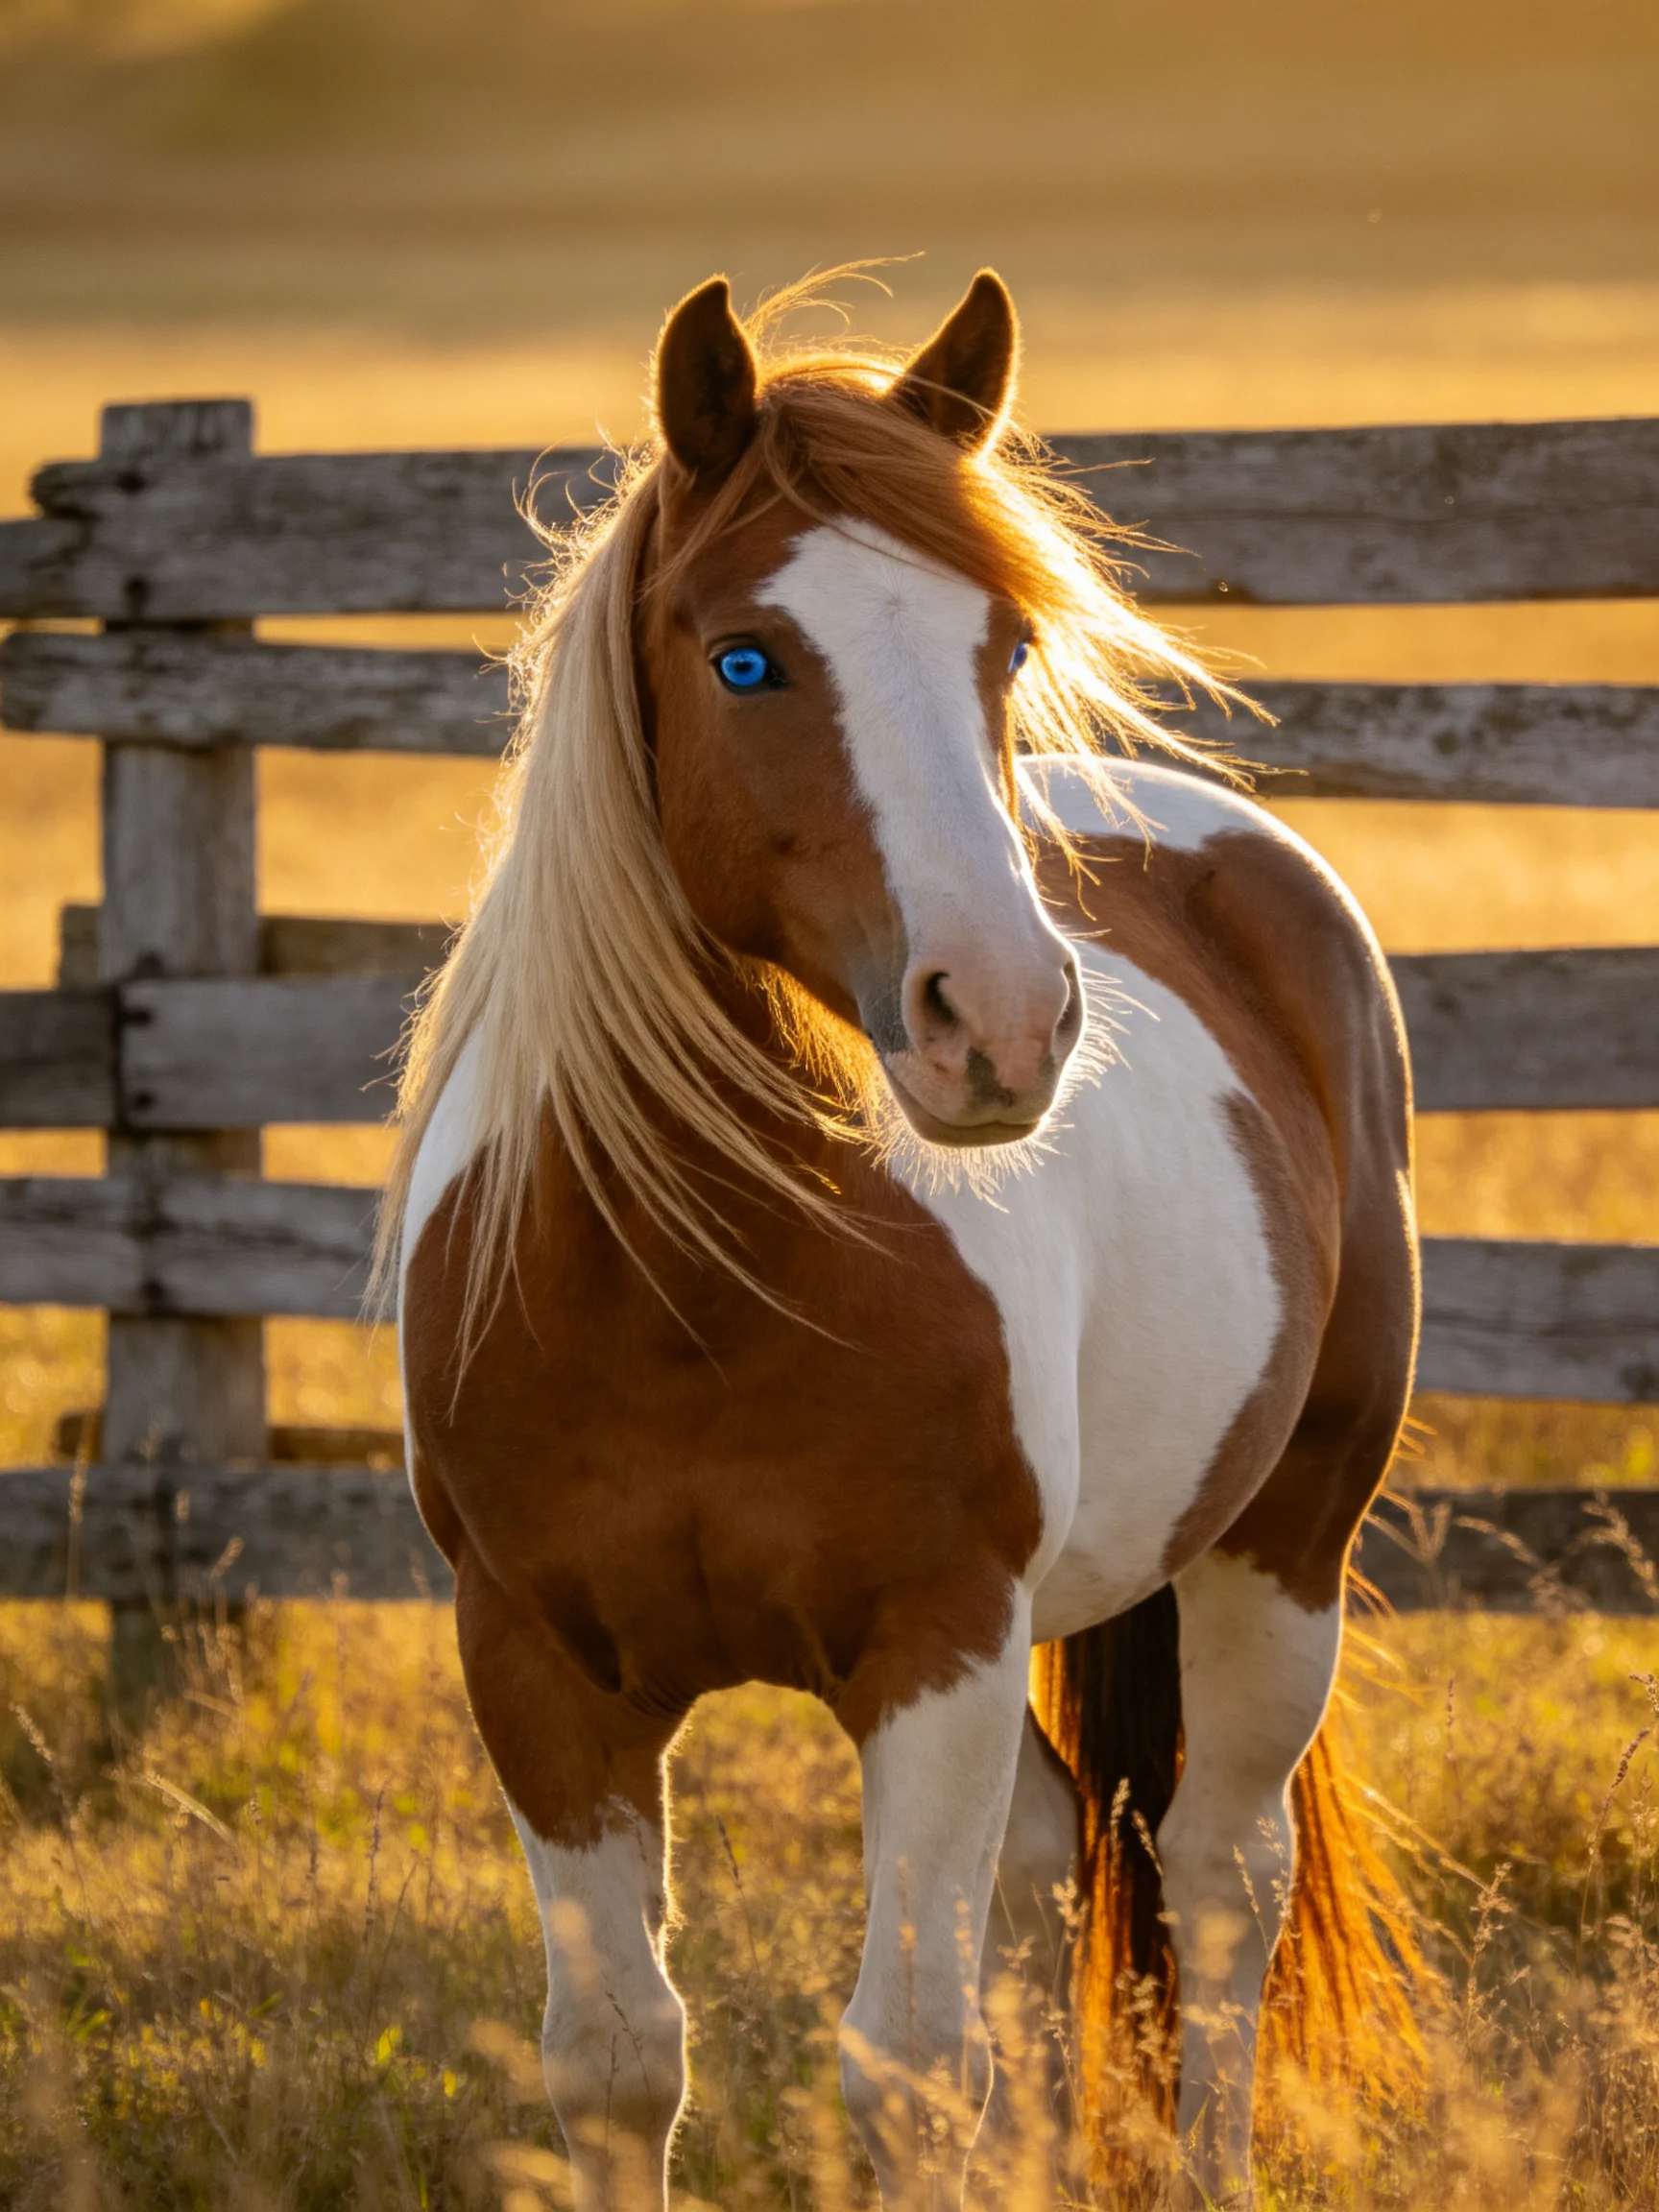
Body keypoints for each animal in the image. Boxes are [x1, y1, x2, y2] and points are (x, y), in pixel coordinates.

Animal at [385, 268, 1420, 2209]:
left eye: (1003, 648)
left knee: (1216, 1883)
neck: (686, 1283)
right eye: (745, 658)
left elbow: (908, 2062)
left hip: (1284, 1540)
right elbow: (618, 2058)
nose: (1001, 1020)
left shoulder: (932, 1643)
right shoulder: (537, 1664)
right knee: (1052, 1872)